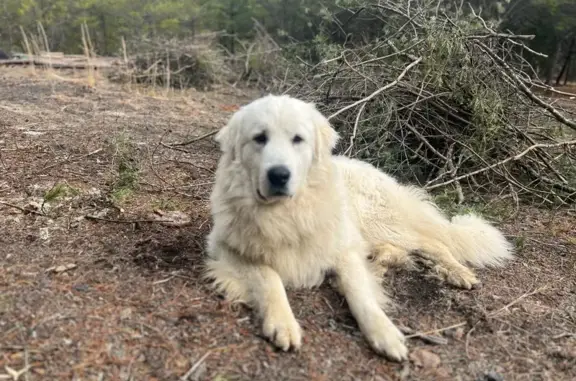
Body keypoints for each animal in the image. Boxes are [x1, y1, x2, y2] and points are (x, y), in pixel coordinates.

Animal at [202, 93, 512, 360]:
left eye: (297, 139)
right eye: (260, 138)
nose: (279, 175)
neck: (287, 214)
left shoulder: (344, 249)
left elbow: (360, 293)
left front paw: (385, 333)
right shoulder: (228, 249)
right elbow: (270, 278)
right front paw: (283, 324)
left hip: (375, 221)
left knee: (433, 242)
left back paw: (458, 272)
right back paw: (382, 261)